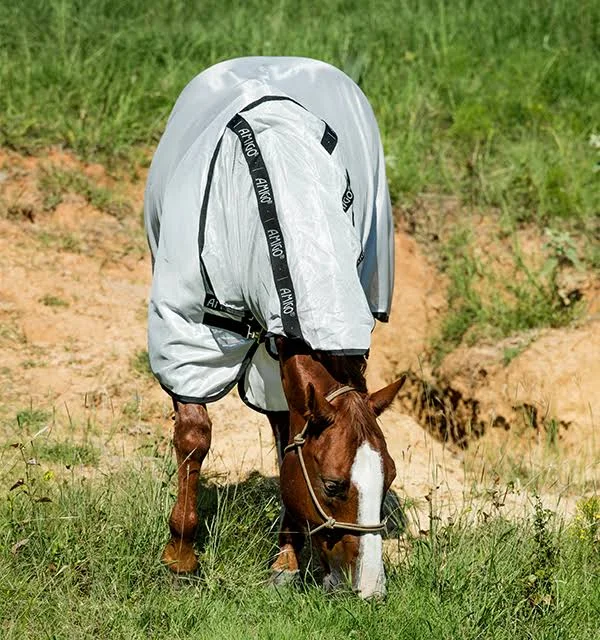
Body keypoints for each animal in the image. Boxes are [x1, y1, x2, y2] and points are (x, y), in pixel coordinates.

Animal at [144, 57, 404, 598]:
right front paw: (180, 557)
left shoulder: (284, 347)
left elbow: (287, 441)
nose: (371, 590)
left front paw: (286, 561)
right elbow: (194, 436)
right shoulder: (185, 332)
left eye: (388, 478)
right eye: (333, 484)